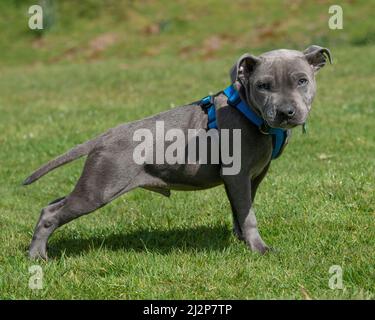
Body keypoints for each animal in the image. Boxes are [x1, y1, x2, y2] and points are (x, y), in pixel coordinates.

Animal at [23, 45, 332, 260]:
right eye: (263, 86)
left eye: (302, 81)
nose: (286, 112)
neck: (249, 112)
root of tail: (105, 135)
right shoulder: (237, 174)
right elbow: (248, 215)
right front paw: (259, 249)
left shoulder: (252, 177)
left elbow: (241, 211)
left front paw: (241, 240)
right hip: (100, 187)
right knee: (52, 213)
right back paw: (37, 255)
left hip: (95, 183)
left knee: (53, 203)